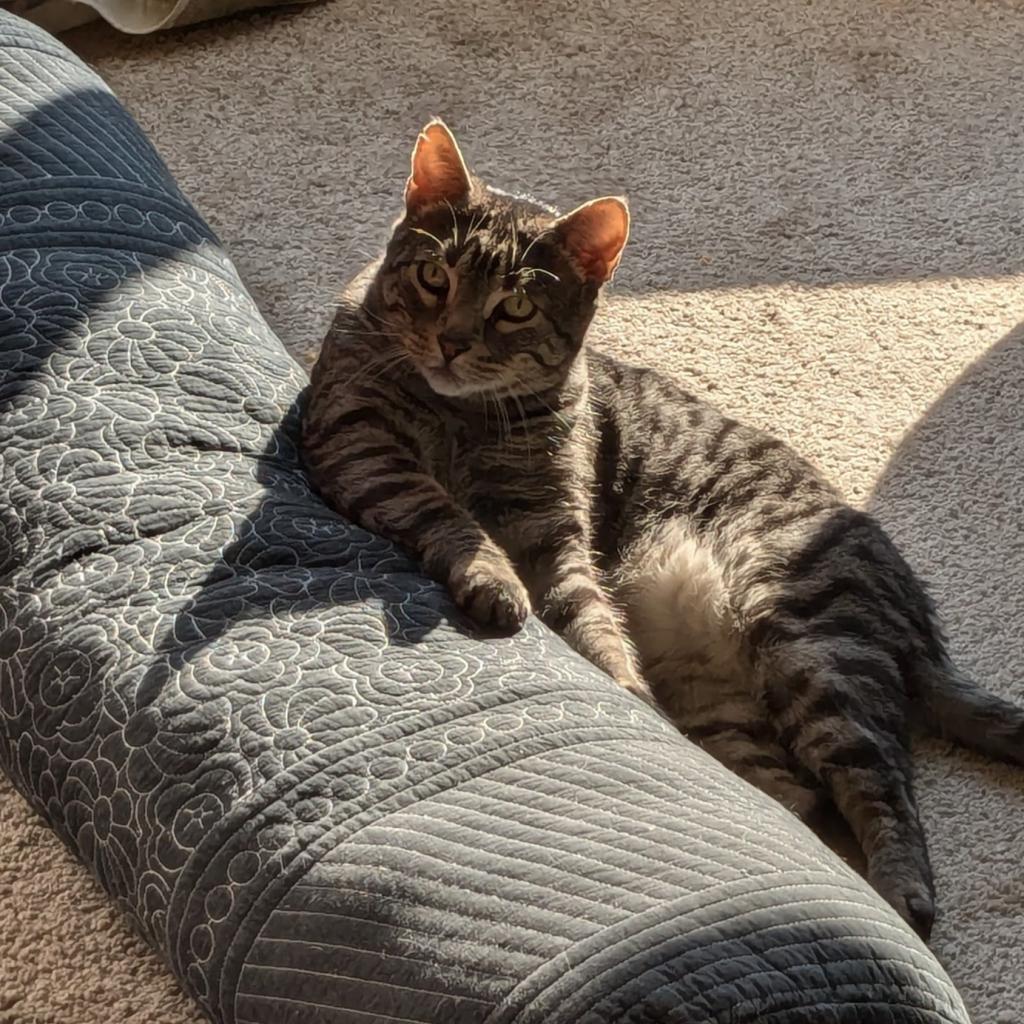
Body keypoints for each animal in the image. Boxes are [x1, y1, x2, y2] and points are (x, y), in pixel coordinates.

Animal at [301, 117, 1024, 937]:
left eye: (514, 309)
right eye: (434, 278)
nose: (453, 342)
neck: (464, 419)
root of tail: (918, 621)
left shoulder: (552, 526)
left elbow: (588, 619)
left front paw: (610, 677)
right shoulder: (361, 450)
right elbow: (450, 517)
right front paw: (499, 582)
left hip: (811, 641)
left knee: (884, 788)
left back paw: (901, 896)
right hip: (741, 701)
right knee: (801, 797)